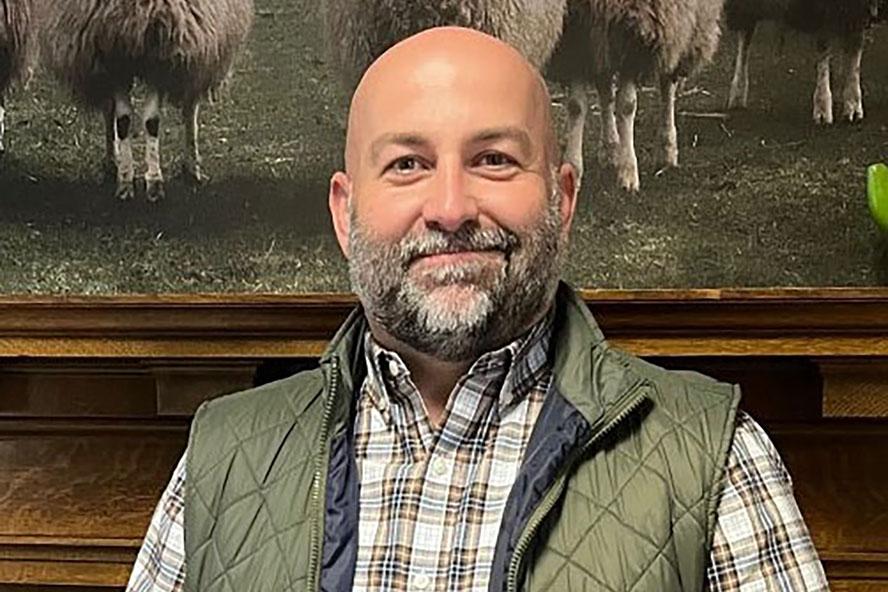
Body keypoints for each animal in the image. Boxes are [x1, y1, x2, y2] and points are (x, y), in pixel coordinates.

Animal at [41, 0, 253, 201]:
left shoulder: (161, 57)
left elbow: (152, 122)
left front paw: (154, 182)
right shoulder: (112, 56)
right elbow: (123, 121)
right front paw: (125, 181)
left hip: (197, 49)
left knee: (190, 108)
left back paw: (192, 168)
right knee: (109, 110)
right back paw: (112, 162)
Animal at [548, 0, 728, 192]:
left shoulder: (635, 36)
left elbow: (626, 105)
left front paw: (628, 172)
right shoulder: (576, 38)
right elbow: (576, 106)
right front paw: (572, 170)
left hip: (678, 26)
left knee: (667, 88)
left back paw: (667, 150)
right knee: (606, 91)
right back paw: (610, 148)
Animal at [728, 0, 880, 123]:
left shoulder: (858, 10)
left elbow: (854, 54)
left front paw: (853, 106)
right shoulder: (823, 9)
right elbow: (824, 49)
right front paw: (823, 108)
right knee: (744, 39)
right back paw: (737, 95)